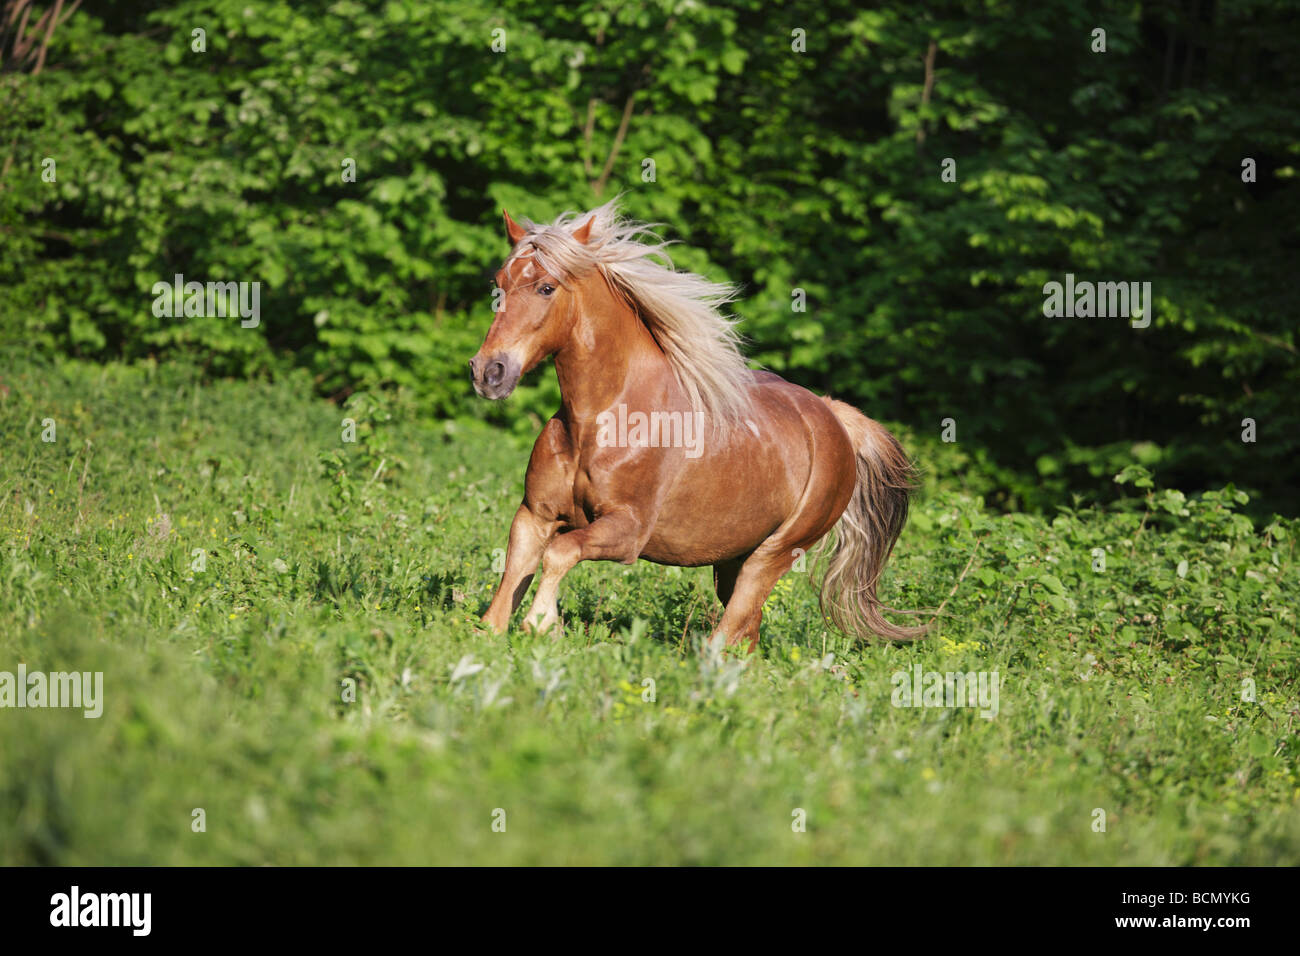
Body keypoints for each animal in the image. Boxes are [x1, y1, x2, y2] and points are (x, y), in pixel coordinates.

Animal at [469, 200, 926, 651]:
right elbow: (510, 583)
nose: (488, 372)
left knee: (730, 630)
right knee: (748, 634)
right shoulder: (534, 515)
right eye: (499, 283)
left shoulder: (627, 532)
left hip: (773, 554)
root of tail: (833, 418)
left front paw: (542, 623)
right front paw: (497, 633)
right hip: (732, 561)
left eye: (547, 287)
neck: (601, 422)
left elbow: (560, 553)